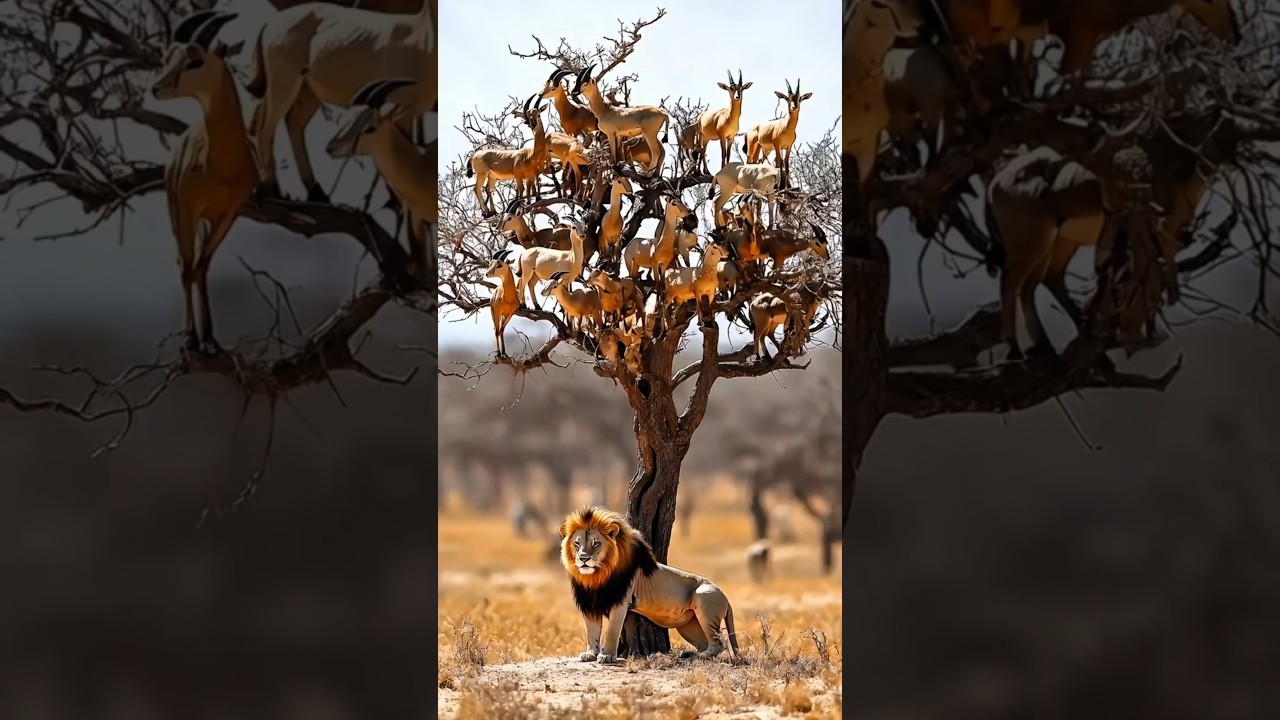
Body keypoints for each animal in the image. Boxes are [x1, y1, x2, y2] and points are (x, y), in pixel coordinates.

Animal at [150, 10, 258, 353]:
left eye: (195, 61)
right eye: (167, 57)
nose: (156, 87)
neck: (222, 165)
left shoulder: (228, 214)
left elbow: (203, 265)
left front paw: (210, 338)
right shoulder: (189, 209)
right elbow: (188, 267)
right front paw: (191, 338)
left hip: (206, 221)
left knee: (198, 264)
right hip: (178, 214)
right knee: (182, 263)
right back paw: (189, 336)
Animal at [246, 0, 436, 203]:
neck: (422, 37)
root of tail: (270, 23)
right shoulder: (401, 112)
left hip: (308, 92)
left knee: (289, 121)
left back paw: (316, 192)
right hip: (284, 83)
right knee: (265, 126)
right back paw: (271, 189)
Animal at [559, 506, 740, 664]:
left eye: (596, 543)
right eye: (577, 543)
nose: (583, 558)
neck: (595, 577)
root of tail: (726, 598)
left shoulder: (620, 601)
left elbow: (611, 631)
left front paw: (607, 656)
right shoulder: (588, 602)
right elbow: (591, 631)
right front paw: (590, 653)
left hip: (704, 600)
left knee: (718, 645)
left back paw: (699, 657)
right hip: (687, 625)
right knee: (705, 644)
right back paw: (690, 654)